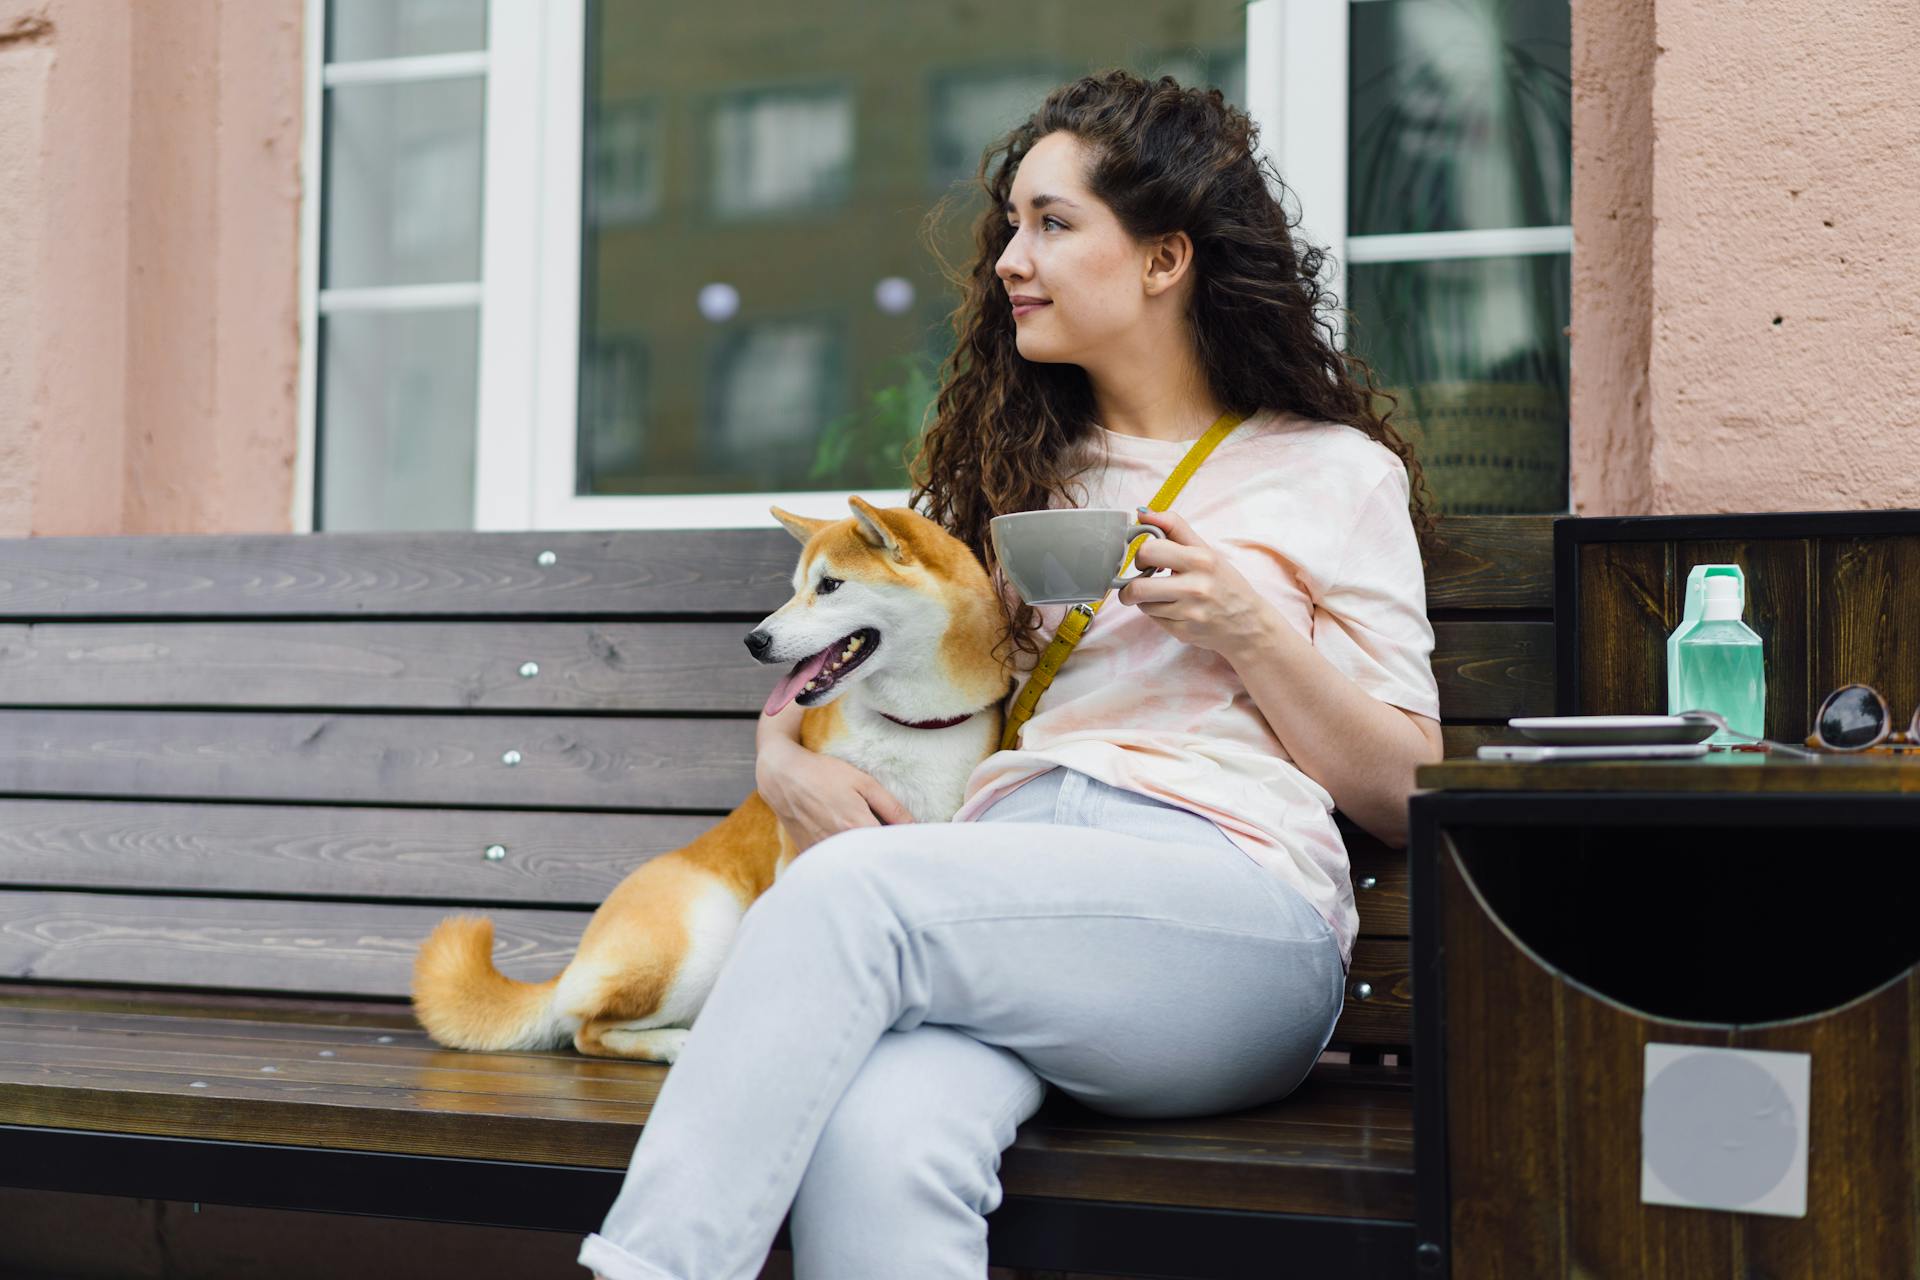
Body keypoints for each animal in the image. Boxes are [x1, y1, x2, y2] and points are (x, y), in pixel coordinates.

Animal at [407, 495, 1013, 1066]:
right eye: (796, 588)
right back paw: (674, 1045)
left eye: (830, 585)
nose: (754, 640)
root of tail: (574, 960)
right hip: (700, 943)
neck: (910, 727)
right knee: (587, 1031)